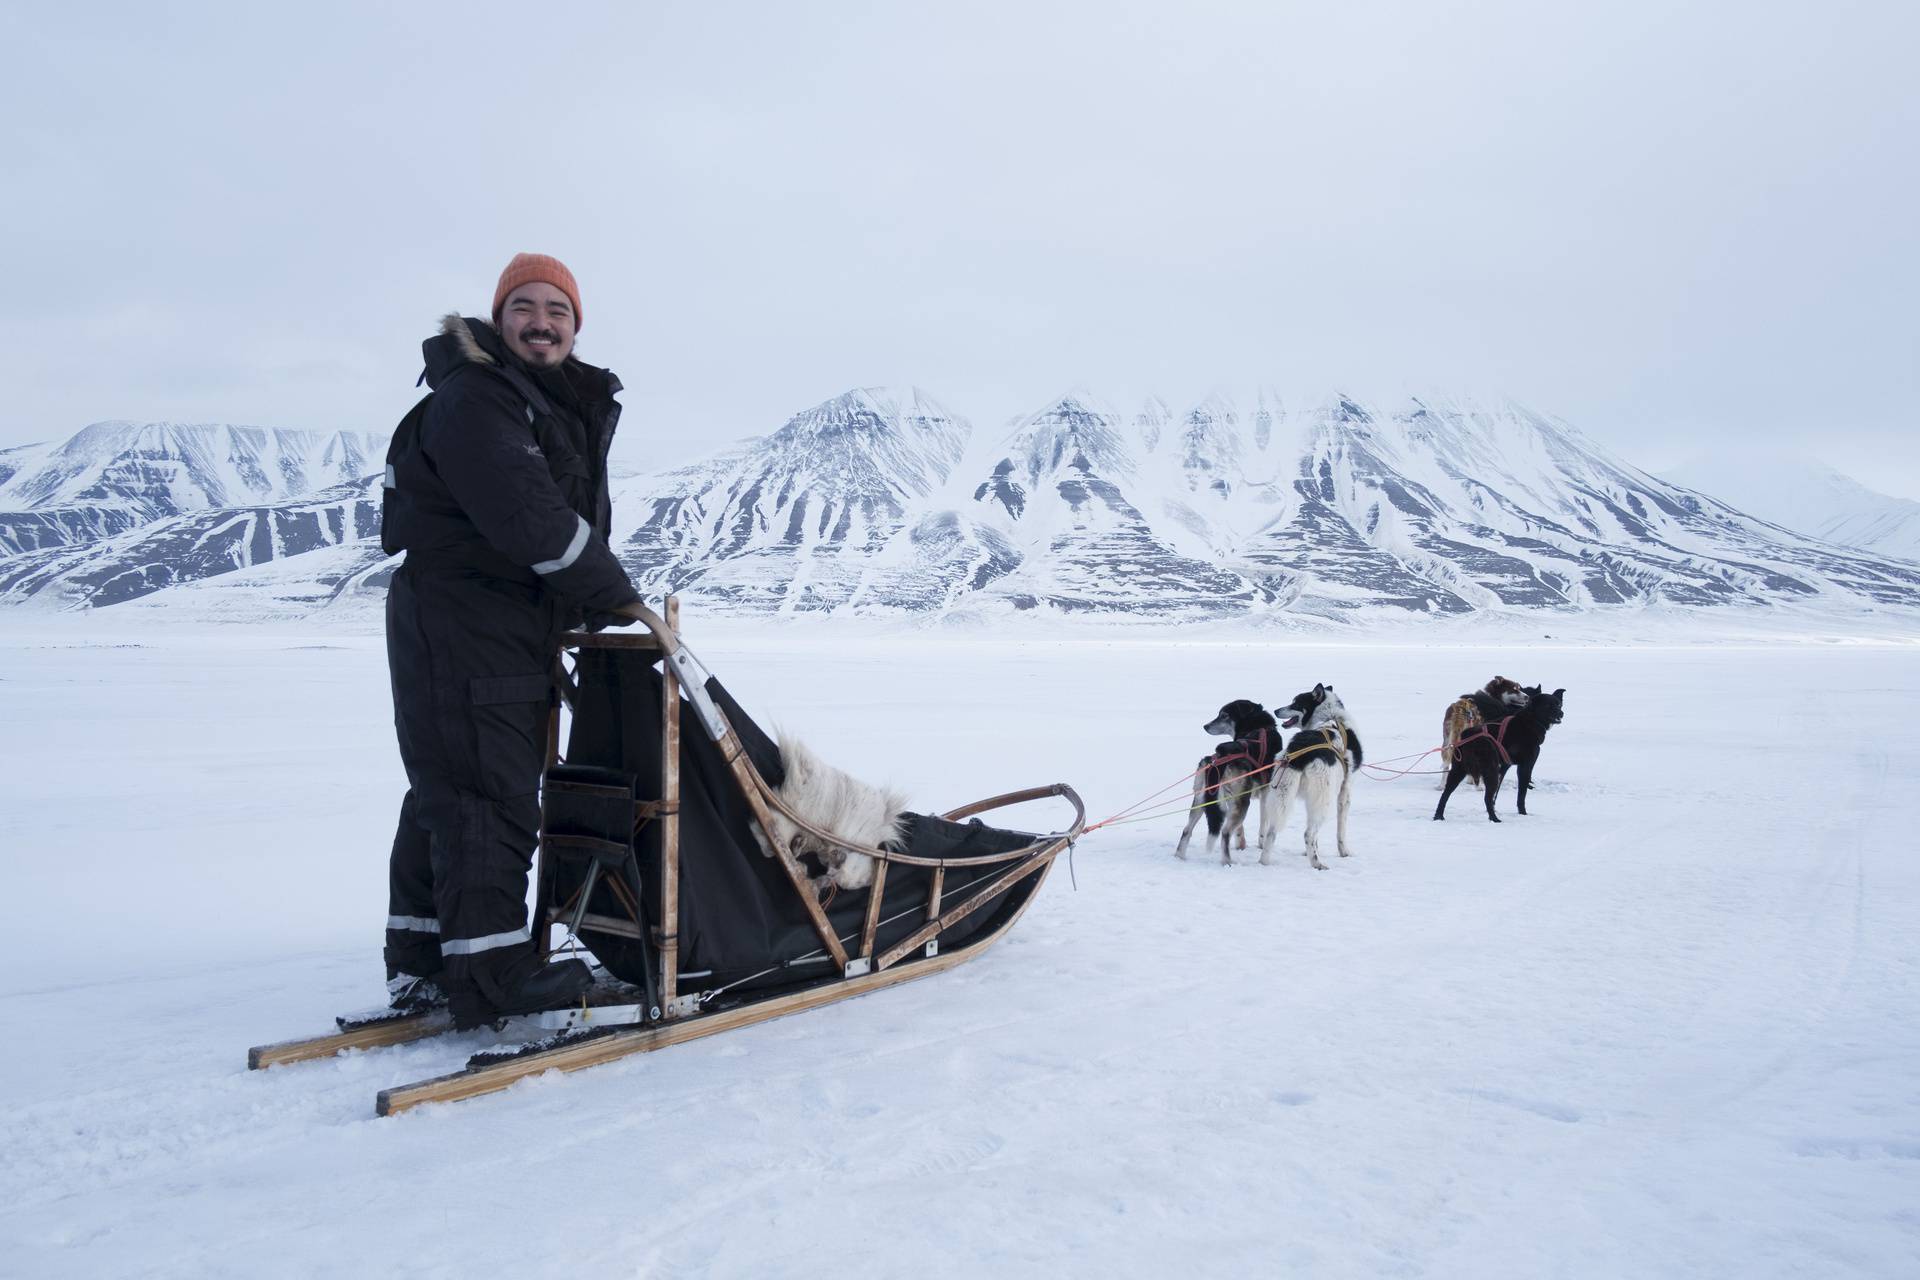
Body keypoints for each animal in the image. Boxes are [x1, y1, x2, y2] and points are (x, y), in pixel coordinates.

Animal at [1175, 694, 1282, 867]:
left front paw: (1241, 845)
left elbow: (1240, 830)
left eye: (1224, 715)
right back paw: (1227, 862)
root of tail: (1220, 756)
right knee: (1225, 832)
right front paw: (1260, 844)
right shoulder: (1265, 792)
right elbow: (1263, 824)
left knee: (1187, 829)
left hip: (1201, 800)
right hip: (1242, 802)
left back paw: (1180, 857)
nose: (1205, 726)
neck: (1259, 727)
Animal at [1259, 679, 1367, 871]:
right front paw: (1344, 852)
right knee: (1309, 833)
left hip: (1281, 795)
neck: (1329, 715)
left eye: (1295, 703)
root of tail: (1299, 752)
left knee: (1271, 832)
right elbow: (1341, 831)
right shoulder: (1344, 792)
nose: (1276, 710)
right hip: (1324, 800)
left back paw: (1265, 861)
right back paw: (1317, 863)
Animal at [1436, 687, 1566, 825]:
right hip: (1489, 771)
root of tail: (1468, 735)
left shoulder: (1504, 766)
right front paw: (1523, 813)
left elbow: (1496, 794)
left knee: (1445, 794)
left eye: (1558, 704)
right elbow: (1521, 795)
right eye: (1548, 705)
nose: (1561, 713)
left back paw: (1438, 816)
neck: (1530, 721)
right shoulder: (1525, 766)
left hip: (1459, 770)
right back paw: (1494, 819)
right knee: (1486, 798)